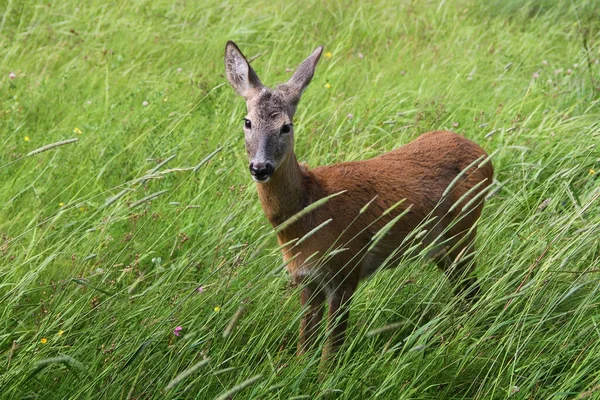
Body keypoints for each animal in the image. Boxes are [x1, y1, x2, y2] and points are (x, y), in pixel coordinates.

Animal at [223, 41, 494, 362]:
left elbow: (331, 349)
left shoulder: (347, 267)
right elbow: (305, 344)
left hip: (463, 230)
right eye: (247, 122)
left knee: (473, 289)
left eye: (286, 126)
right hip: (440, 245)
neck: (309, 213)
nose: (260, 167)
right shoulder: (305, 279)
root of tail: (485, 155)